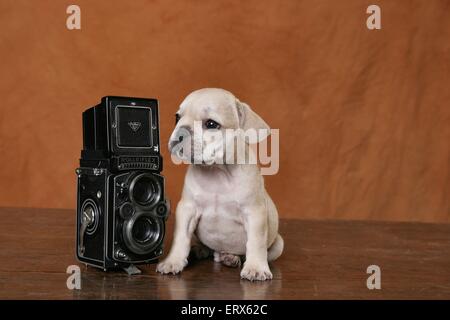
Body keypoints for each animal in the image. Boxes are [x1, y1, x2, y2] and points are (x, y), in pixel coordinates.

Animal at [156, 87, 284, 280]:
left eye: (211, 124)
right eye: (177, 118)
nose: (180, 132)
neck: (217, 172)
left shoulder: (254, 213)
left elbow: (256, 242)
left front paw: (255, 267)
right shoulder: (187, 210)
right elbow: (180, 238)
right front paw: (173, 261)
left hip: (278, 244)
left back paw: (231, 257)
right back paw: (199, 250)